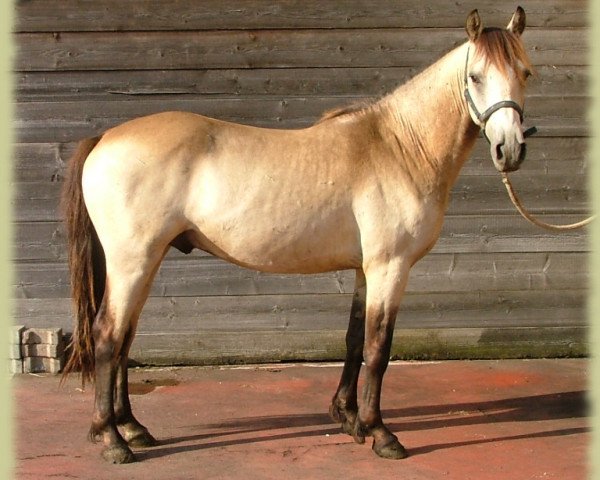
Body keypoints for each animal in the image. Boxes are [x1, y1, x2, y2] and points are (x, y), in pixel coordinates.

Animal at [62, 7, 536, 464]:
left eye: (526, 73)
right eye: (475, 76)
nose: (510, 150)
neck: (399, 146)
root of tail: (105, 137)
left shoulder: (366, 270)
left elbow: (354, 340)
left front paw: (348, 418)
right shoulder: (390, 268)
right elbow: (378, 349)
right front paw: (381, 433)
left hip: (145, 261)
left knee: (124, 339)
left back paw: (132, 428)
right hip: (133, 261)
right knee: (108, 336)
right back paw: (112, 439)